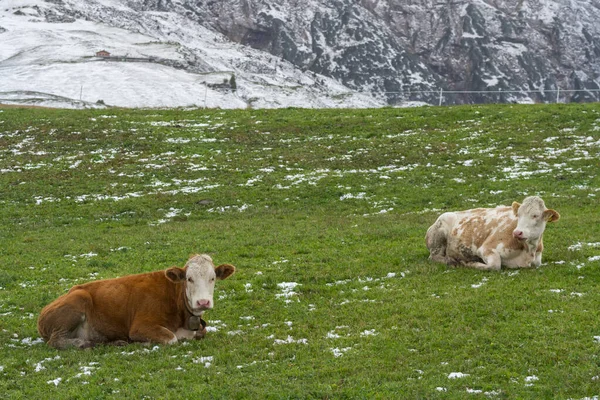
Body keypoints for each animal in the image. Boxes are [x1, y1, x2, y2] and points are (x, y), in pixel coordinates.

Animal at [37, 255, 234, 348]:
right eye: (189, 279)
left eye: (212, 278)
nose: (203, 302)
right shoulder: (140, 327)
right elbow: (171, 338)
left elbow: (202, 332)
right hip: (78, 301)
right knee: (55, 341)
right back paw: (83, 344)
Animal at [424, 195, 560, 270]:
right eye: (518, 214)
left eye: (535, 215)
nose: (517, 233)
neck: (528, 251)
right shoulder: (486, 248)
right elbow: (494, 265)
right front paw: (469, 263)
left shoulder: (537, 260)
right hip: (439, 236)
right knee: (435, 257)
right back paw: (452, 261)